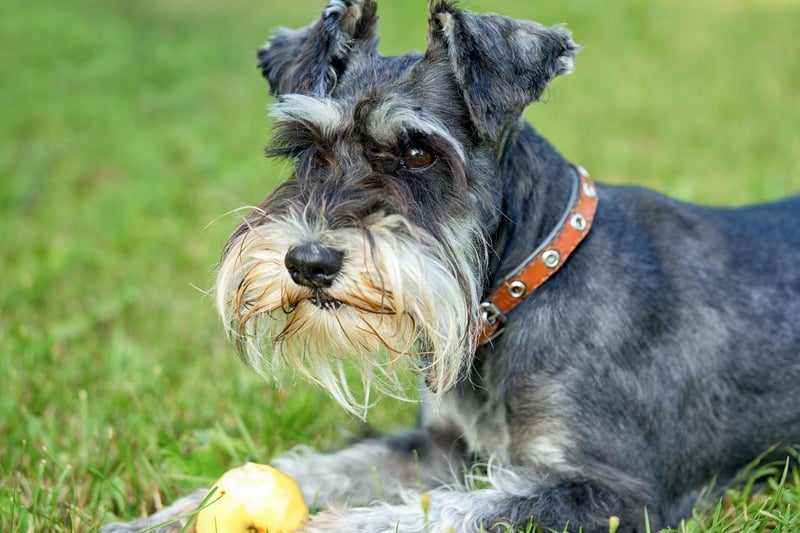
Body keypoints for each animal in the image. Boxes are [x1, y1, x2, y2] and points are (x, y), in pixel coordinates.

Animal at [104, 1, 800, 532]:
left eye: (418, 152)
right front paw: (167, 517)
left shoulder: (610, 490)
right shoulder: (438, 446)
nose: (308, 262)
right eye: (309, 147)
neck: (525, 284)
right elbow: (322, 467)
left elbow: (438, 514)